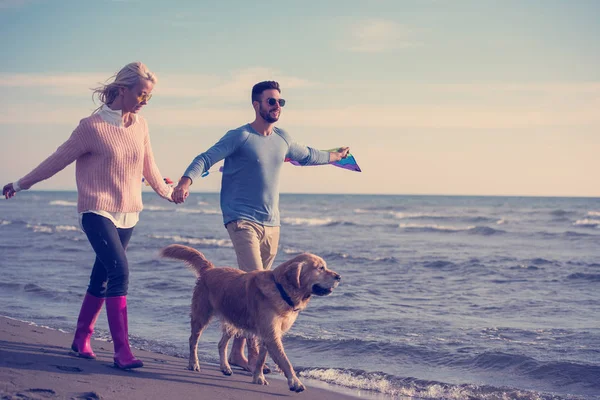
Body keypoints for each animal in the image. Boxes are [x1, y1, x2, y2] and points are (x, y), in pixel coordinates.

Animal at [161, 244, 342, 390]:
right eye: (320, 268)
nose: (339, 277)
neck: (281, 289)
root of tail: (209, 269)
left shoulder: (268, 334)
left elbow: (261, 359)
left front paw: (258, 377)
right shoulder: (271, 335)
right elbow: (285, 361)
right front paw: (295, 382)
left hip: (233, 320)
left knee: (221, 344)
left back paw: (225, 367)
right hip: (202, 316)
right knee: (193, 340)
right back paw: (193, 364)